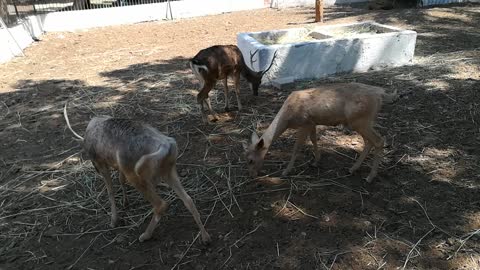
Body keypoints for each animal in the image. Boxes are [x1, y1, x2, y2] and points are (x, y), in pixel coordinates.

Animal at [64, 103, 212, 243]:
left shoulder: (101, 163)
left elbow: (110, 191)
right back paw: (205, 237)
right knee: (188, 199)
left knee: (161, 204)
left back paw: (145, 236)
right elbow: (120, 179)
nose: (94, 168)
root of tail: (166, 146)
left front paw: (113, 221)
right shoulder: (119, 166)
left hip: (137, 175)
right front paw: (125, 203)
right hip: (168, 170)